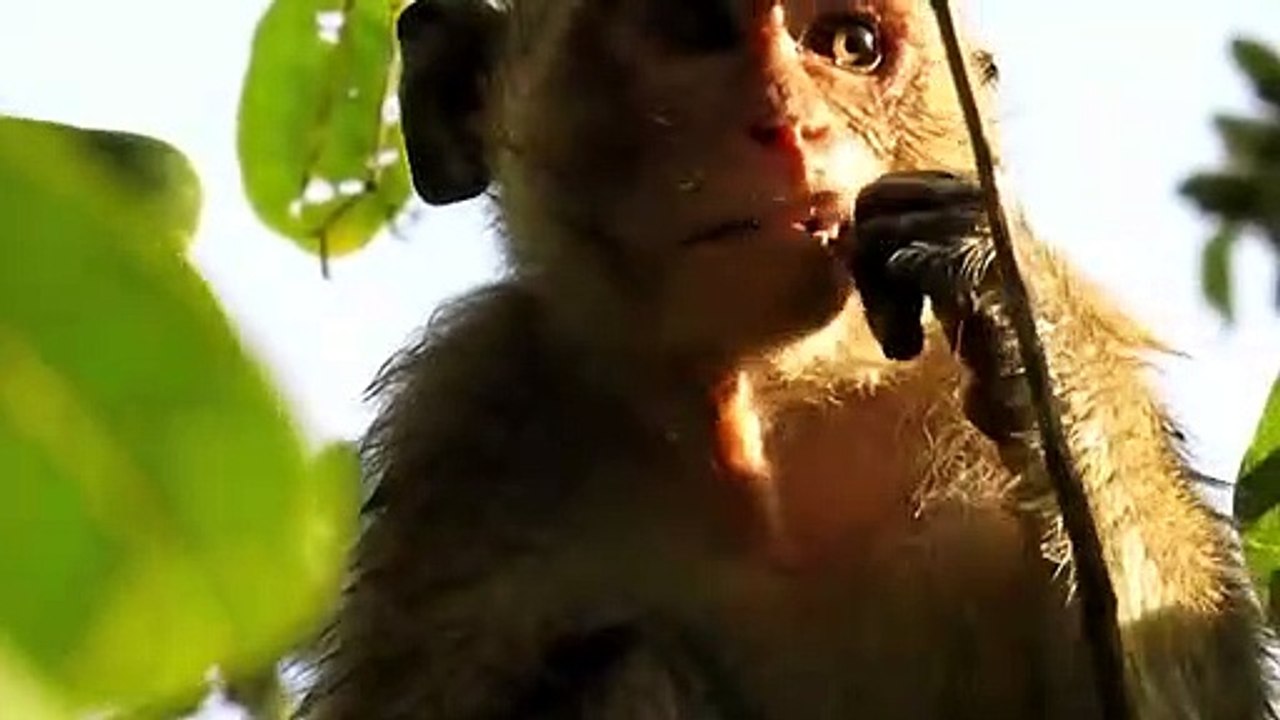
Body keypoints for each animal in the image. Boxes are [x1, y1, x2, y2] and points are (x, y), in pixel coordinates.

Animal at [302, 1, 1274, 717]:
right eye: (693, 28)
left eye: (849, 45)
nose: (789, 123)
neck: (761, 409)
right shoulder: (468, 421)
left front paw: (1004, 296)